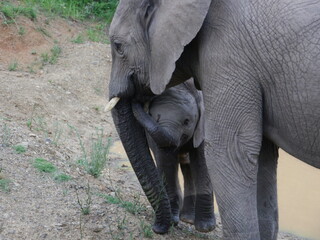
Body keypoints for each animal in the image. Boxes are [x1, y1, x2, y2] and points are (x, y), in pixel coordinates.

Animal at [131, 80, 216, 232]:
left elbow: (201, 161)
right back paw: (185, 218)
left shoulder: (203, 125)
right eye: (153, 116)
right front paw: (173, 220)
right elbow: (166, 161)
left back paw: (188, 219)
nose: (136, 101)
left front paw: (205, 227)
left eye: (187, 121)